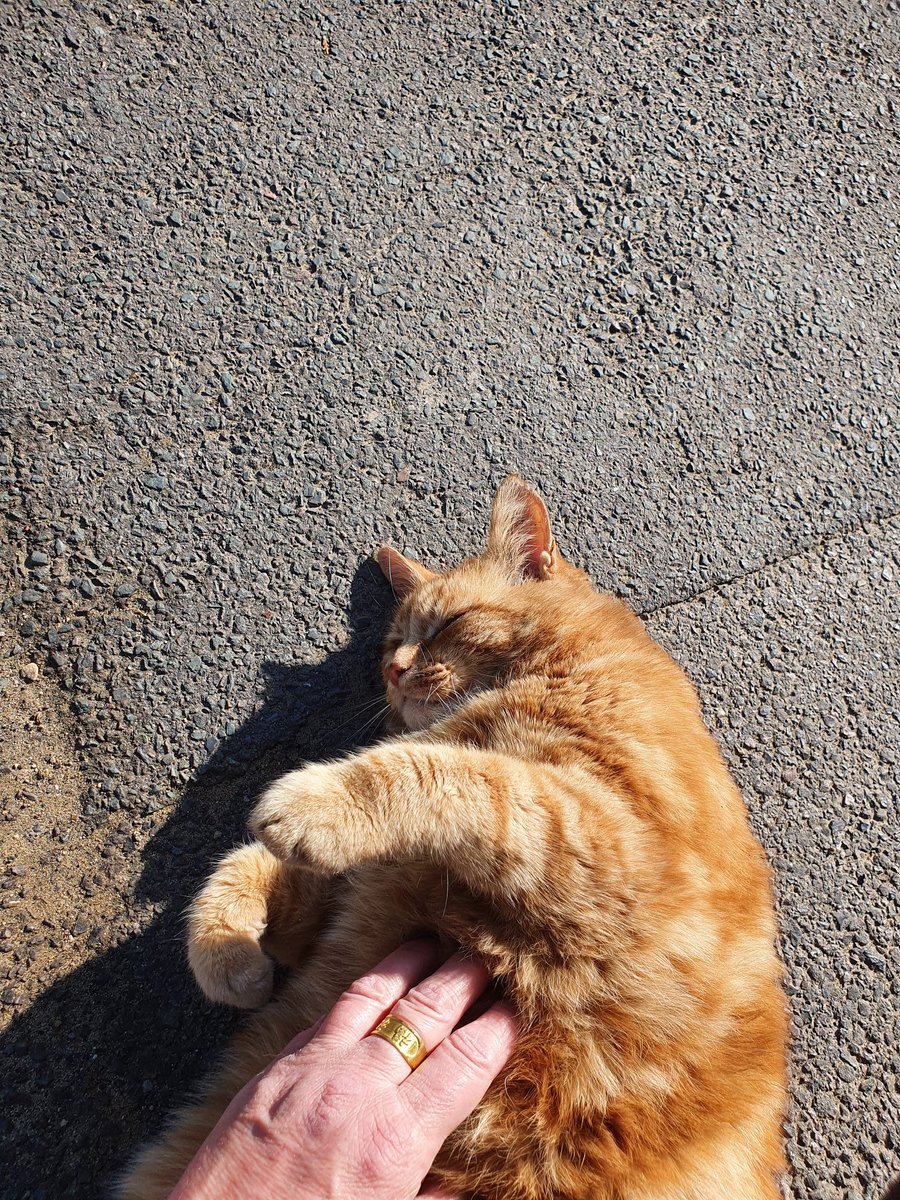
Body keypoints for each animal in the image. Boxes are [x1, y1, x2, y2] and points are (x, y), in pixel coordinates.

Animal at [121, 477, 787, 1200]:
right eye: (391, 644)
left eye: (444, 625)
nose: (394, 671)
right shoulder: (356, 892)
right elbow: (249, 866)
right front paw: (230, 958)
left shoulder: (612, 847)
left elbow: (454, 775)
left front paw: (313, 801)